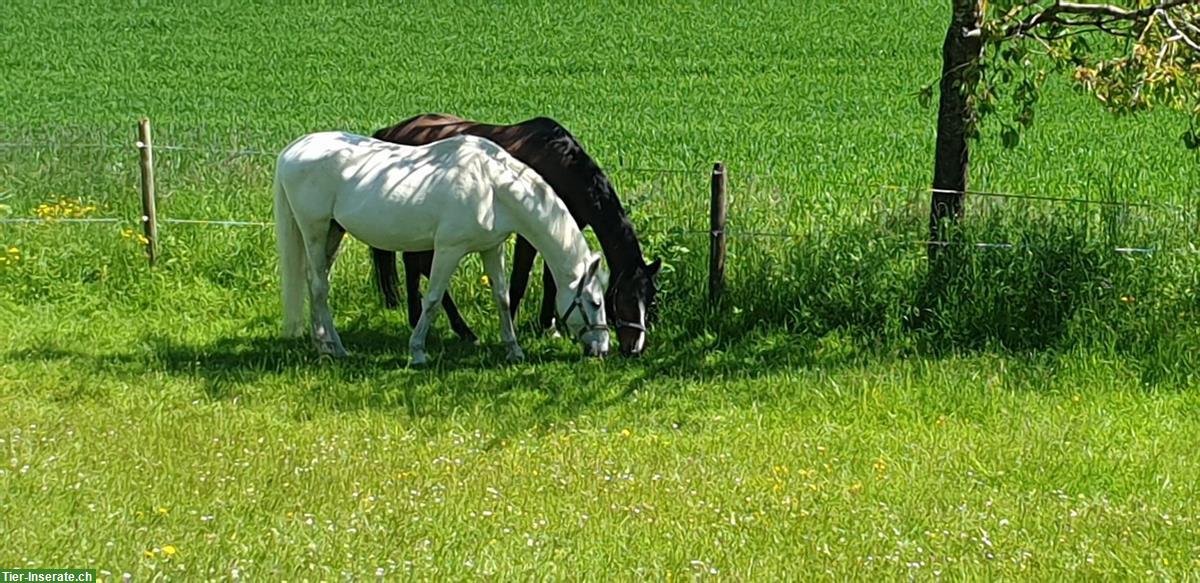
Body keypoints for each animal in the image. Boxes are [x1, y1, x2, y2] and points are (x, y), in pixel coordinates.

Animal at [273, 130, 609, 364]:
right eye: (595, 303)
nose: (603, 348)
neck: (491, 186)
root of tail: (292, 150)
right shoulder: (449, 249)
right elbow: (433, 299)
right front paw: (418, 351)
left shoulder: (492, 248)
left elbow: (502, 298)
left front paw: (514, 350)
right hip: (314, 230)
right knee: (319, 286)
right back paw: (336, 348)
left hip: (333, 231)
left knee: (315, 282)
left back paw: (323, 344)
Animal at [369, 113, 662, 355]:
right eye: (624, 297)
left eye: (649, 298)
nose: (634, 348)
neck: (559, 162)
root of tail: (392, 130)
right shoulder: (528, 234)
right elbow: (520, 280)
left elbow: (550, 280)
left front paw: (549, 325)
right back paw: (458, 329)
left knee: (414, 263)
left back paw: (420, 318)